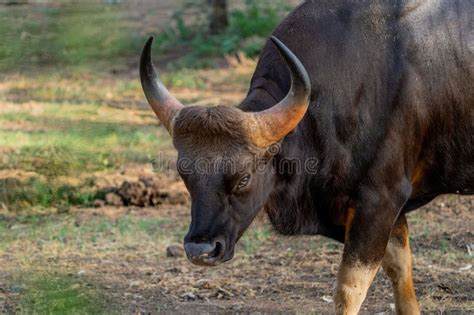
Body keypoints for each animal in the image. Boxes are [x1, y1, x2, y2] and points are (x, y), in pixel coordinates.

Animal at [139, 1, 472, 314]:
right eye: (184, 174)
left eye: (244, 177)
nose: (201, 250)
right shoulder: (388, 210)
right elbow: (400, 269)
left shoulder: (381, 198)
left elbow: (349, 289)